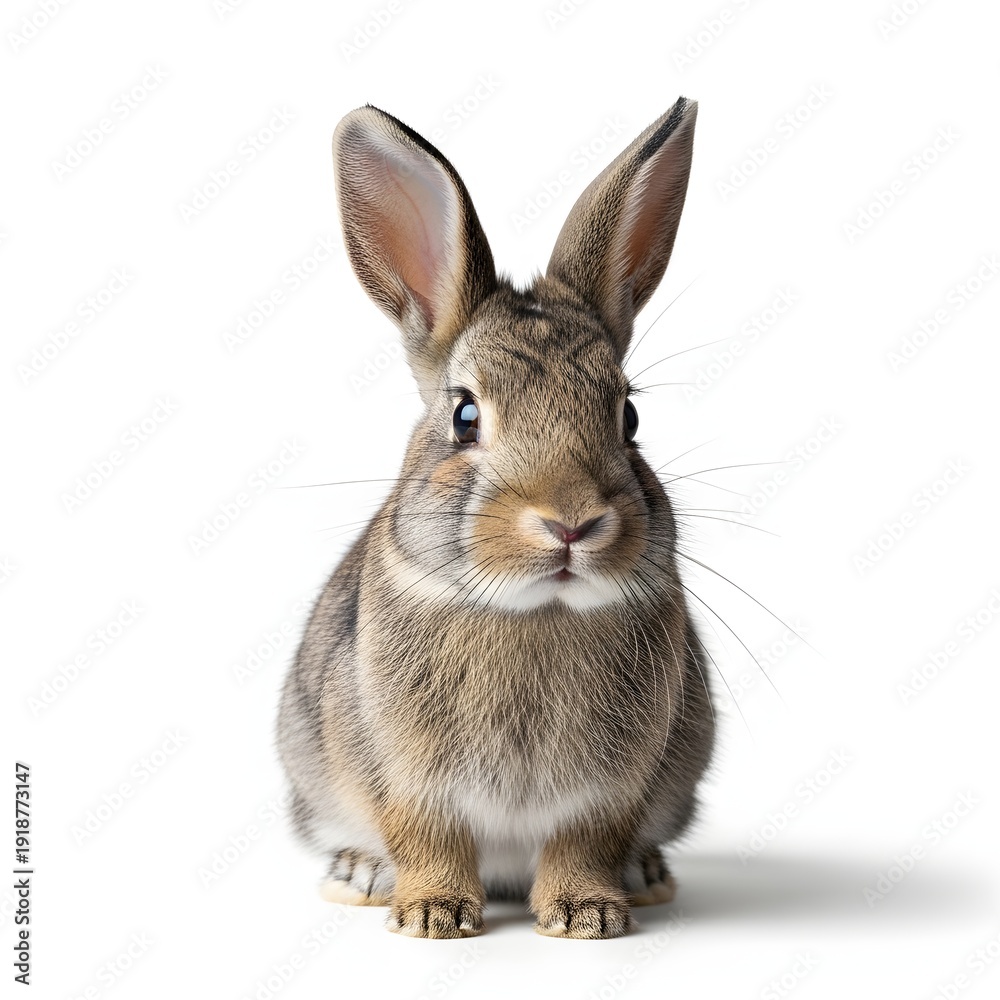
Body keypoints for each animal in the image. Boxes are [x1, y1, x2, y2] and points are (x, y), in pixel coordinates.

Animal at [276, 95, 715, 940]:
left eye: (629, 417)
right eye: (466, 416)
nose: (571, 523)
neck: (535, 612)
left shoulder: (607, 794)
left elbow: (584, 843)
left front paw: (587, 915)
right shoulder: (410, 781)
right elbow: (428, 838)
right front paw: (431, 915)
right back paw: (360, 877)